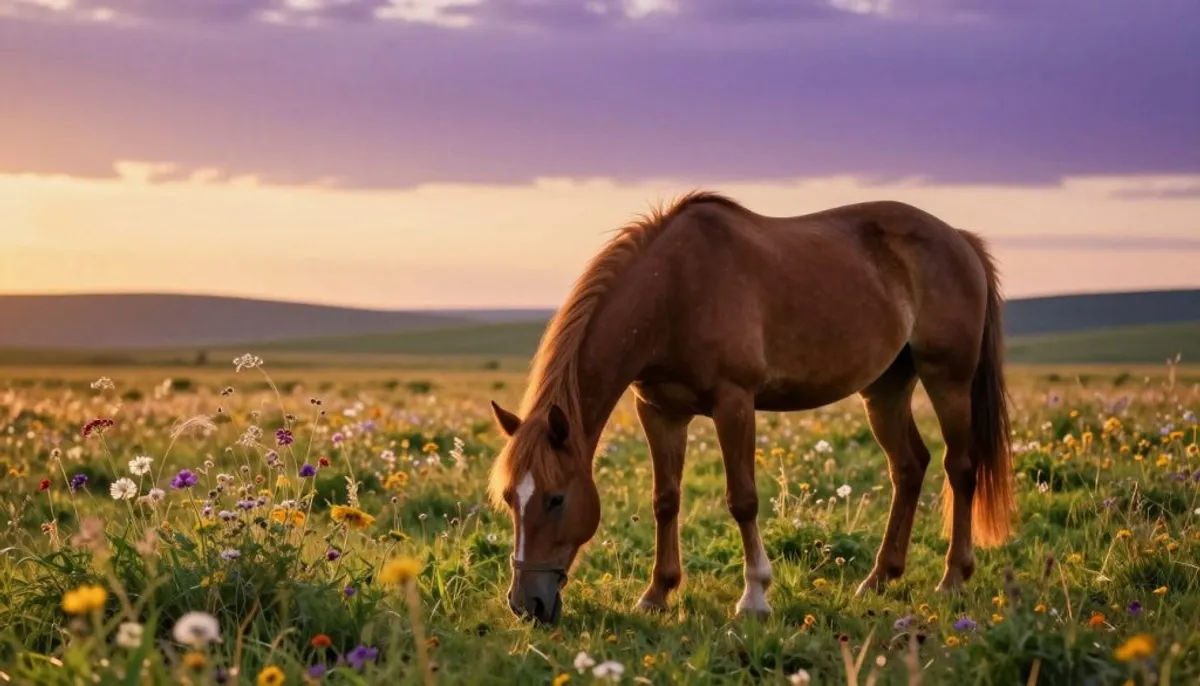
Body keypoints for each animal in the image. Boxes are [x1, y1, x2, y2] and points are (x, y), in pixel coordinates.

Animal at [487, 191, 1015, 624]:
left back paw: (952, 579)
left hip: (948, 379)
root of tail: (960, 240)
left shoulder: (734, 402)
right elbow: (665, 499)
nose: (525, 605)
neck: (673, 291)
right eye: (510, 498)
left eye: (556, 498)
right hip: (885, 389)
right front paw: (657, 593)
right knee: (908, 467)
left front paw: (755, 597)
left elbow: (742, 499)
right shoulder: (658, 411)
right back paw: (879, 578)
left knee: (960, 467)